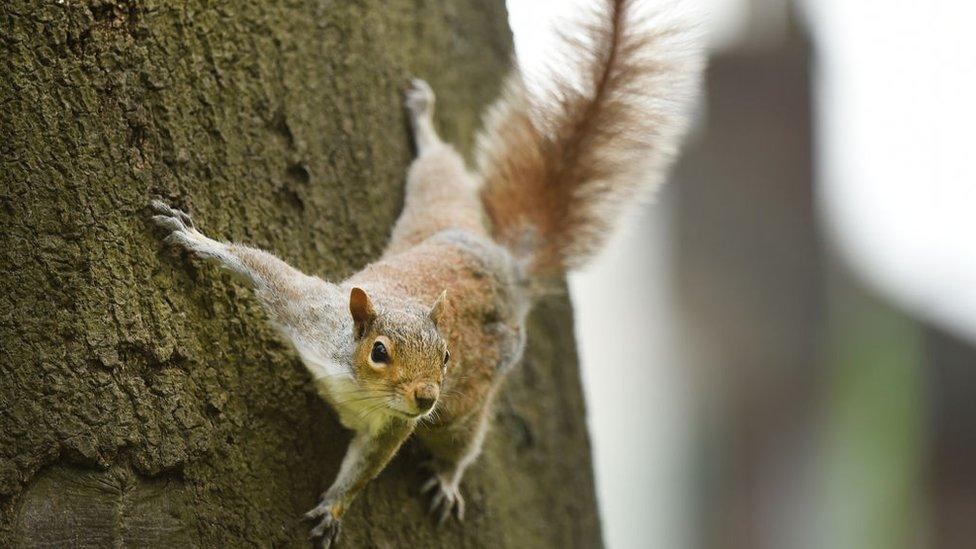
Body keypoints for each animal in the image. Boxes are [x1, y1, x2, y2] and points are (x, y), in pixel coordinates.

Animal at [151, 0, 700, 544]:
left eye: (447, 356)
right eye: (378, 352)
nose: (425, 396)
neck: (356, 383)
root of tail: (506, 267)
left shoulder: (395, 426)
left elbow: (366, 466)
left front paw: (334, 509)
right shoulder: (312, 313)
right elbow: (263, 271)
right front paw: (193, 238)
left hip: (462, 404)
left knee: (461, 442)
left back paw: (448, 479)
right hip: (436, 216)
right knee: (439, 170)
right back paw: (423, 117)